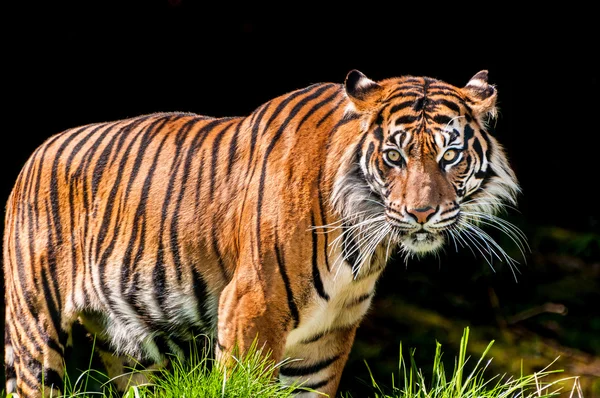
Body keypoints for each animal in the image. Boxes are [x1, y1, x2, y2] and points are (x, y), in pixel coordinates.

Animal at [3, 70, 520, 396]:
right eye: (394, 156)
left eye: (450, 156)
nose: (422, 213)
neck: (360, 242)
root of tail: (34, 154)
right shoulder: (251, 307)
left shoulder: (324, 340)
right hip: (35, 331)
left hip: (131, 349)